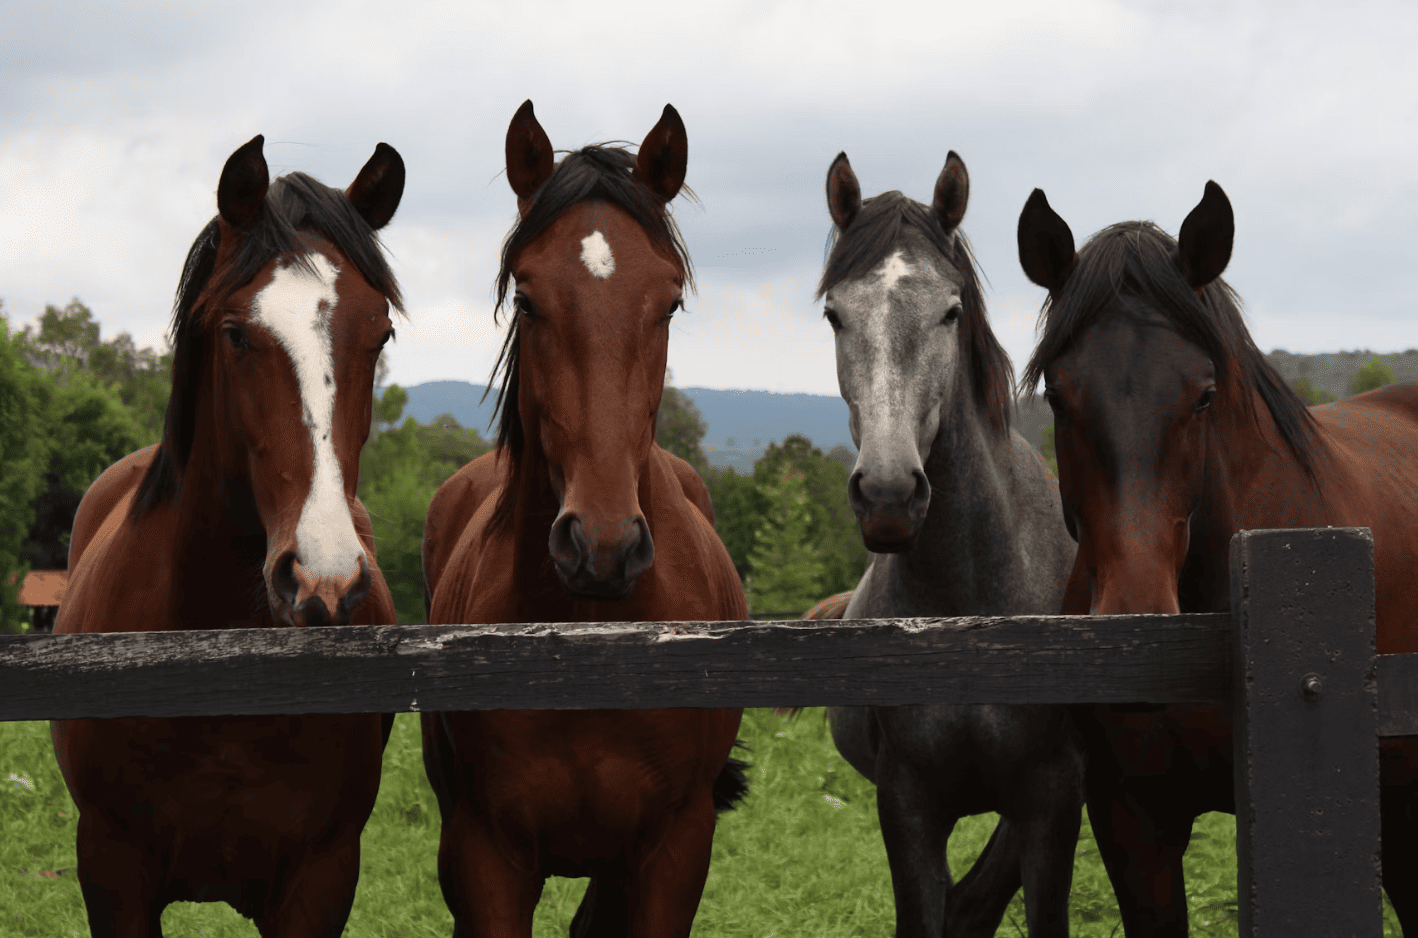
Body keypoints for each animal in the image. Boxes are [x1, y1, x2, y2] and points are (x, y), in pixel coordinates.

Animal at [419, 100, 749, 938]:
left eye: (670, 302)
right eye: (528, 298)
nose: (601, 547)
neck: (586, 647)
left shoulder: (673, 850)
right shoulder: (486, 855)